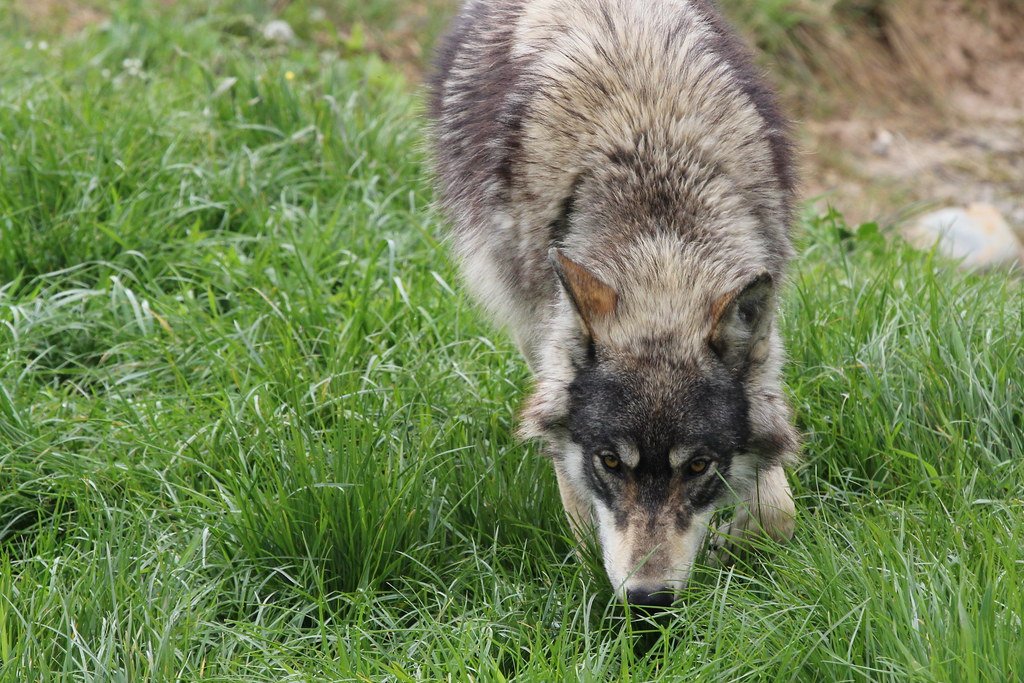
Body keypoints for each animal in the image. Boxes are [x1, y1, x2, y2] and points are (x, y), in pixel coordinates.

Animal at [428, 0, 799, 607]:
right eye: (609, 461)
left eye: (698, 465)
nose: (649, 599)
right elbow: (576, 493)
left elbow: (777, 512)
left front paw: (729, 547)